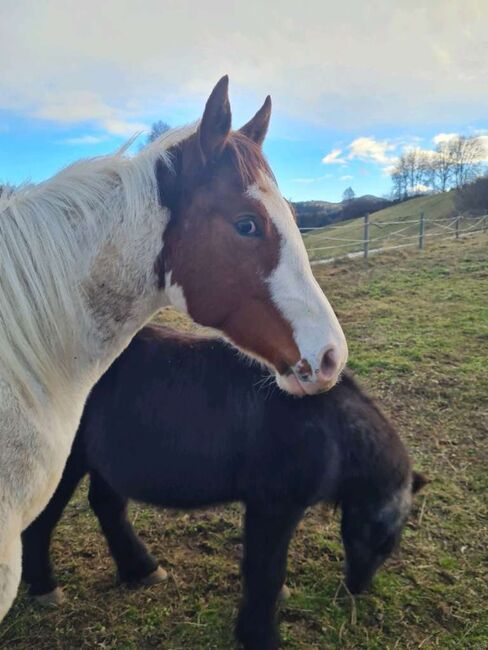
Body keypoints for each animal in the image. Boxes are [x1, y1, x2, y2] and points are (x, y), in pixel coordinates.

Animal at [23, 324, 428, 648]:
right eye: (385, 538)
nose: (357, 588)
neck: (328, 428)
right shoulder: (273, 507)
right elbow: (265, 569)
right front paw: (260, 635)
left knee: (107, 507)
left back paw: (140, 569)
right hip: (66, 465)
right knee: (40, 521)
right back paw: (44, 587)